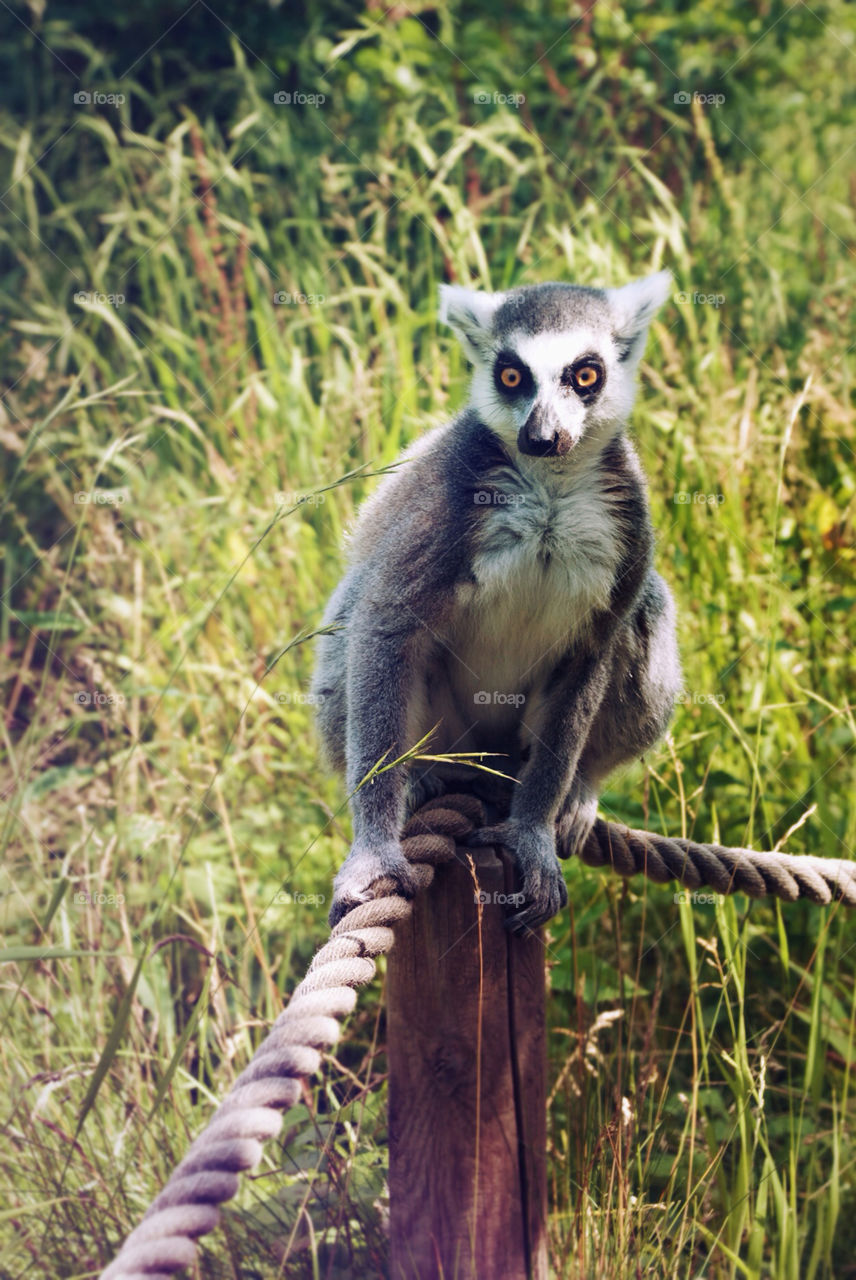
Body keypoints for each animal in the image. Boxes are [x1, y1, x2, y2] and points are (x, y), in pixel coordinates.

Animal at [311, 271, 682, 932]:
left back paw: (580, 787)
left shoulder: (629, 523)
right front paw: (373, 849)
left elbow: (595, 648)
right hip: (445, 731)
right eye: (512, 376)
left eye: (585, 375)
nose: (541, 437)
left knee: (646, 609)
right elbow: (385, 625)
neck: (551, 491)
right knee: (354, 614)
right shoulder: (448, 496)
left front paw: (532, 832)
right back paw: (419, 781)